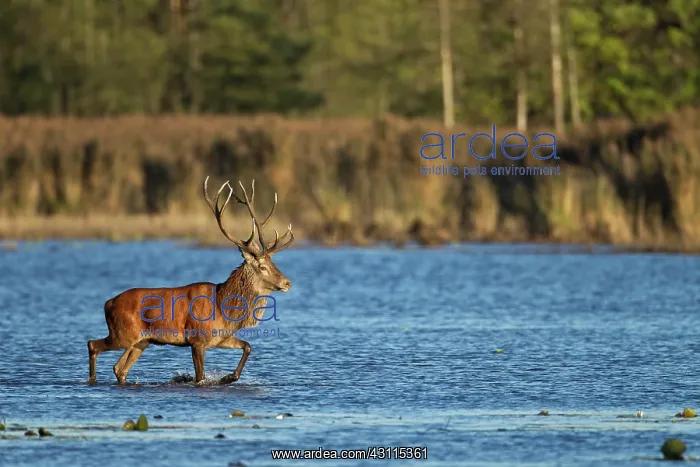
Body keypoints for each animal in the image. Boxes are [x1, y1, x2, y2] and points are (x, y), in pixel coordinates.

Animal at [87, 176, 294, 385]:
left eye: (273, 262)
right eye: (263, 266)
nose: (287, 283)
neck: (223, 308)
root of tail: (108, 303)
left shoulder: (221, 338)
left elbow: (248, 346)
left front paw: (229, 377)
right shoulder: (197, 339)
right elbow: (200, 377)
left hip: (141, 341)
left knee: (119, 368)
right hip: (123, 334)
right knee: (92, 344)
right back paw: (91, 380)